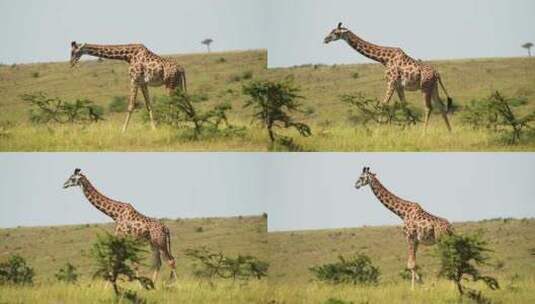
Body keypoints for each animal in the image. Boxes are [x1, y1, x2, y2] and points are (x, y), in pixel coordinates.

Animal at [324, 21, 454, 131]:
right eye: (331, 30)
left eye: (336, 32)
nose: (325, 39)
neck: (384, 59)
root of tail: (437, 74)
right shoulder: (399, 86)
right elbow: (404, 106)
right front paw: (409, 129)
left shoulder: (391, 82)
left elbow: (384, 105)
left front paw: (377, 132)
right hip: (433, 87)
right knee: (441, 106)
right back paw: (450, 132)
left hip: (425, 87)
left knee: (428, 107)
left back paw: (423, 134)